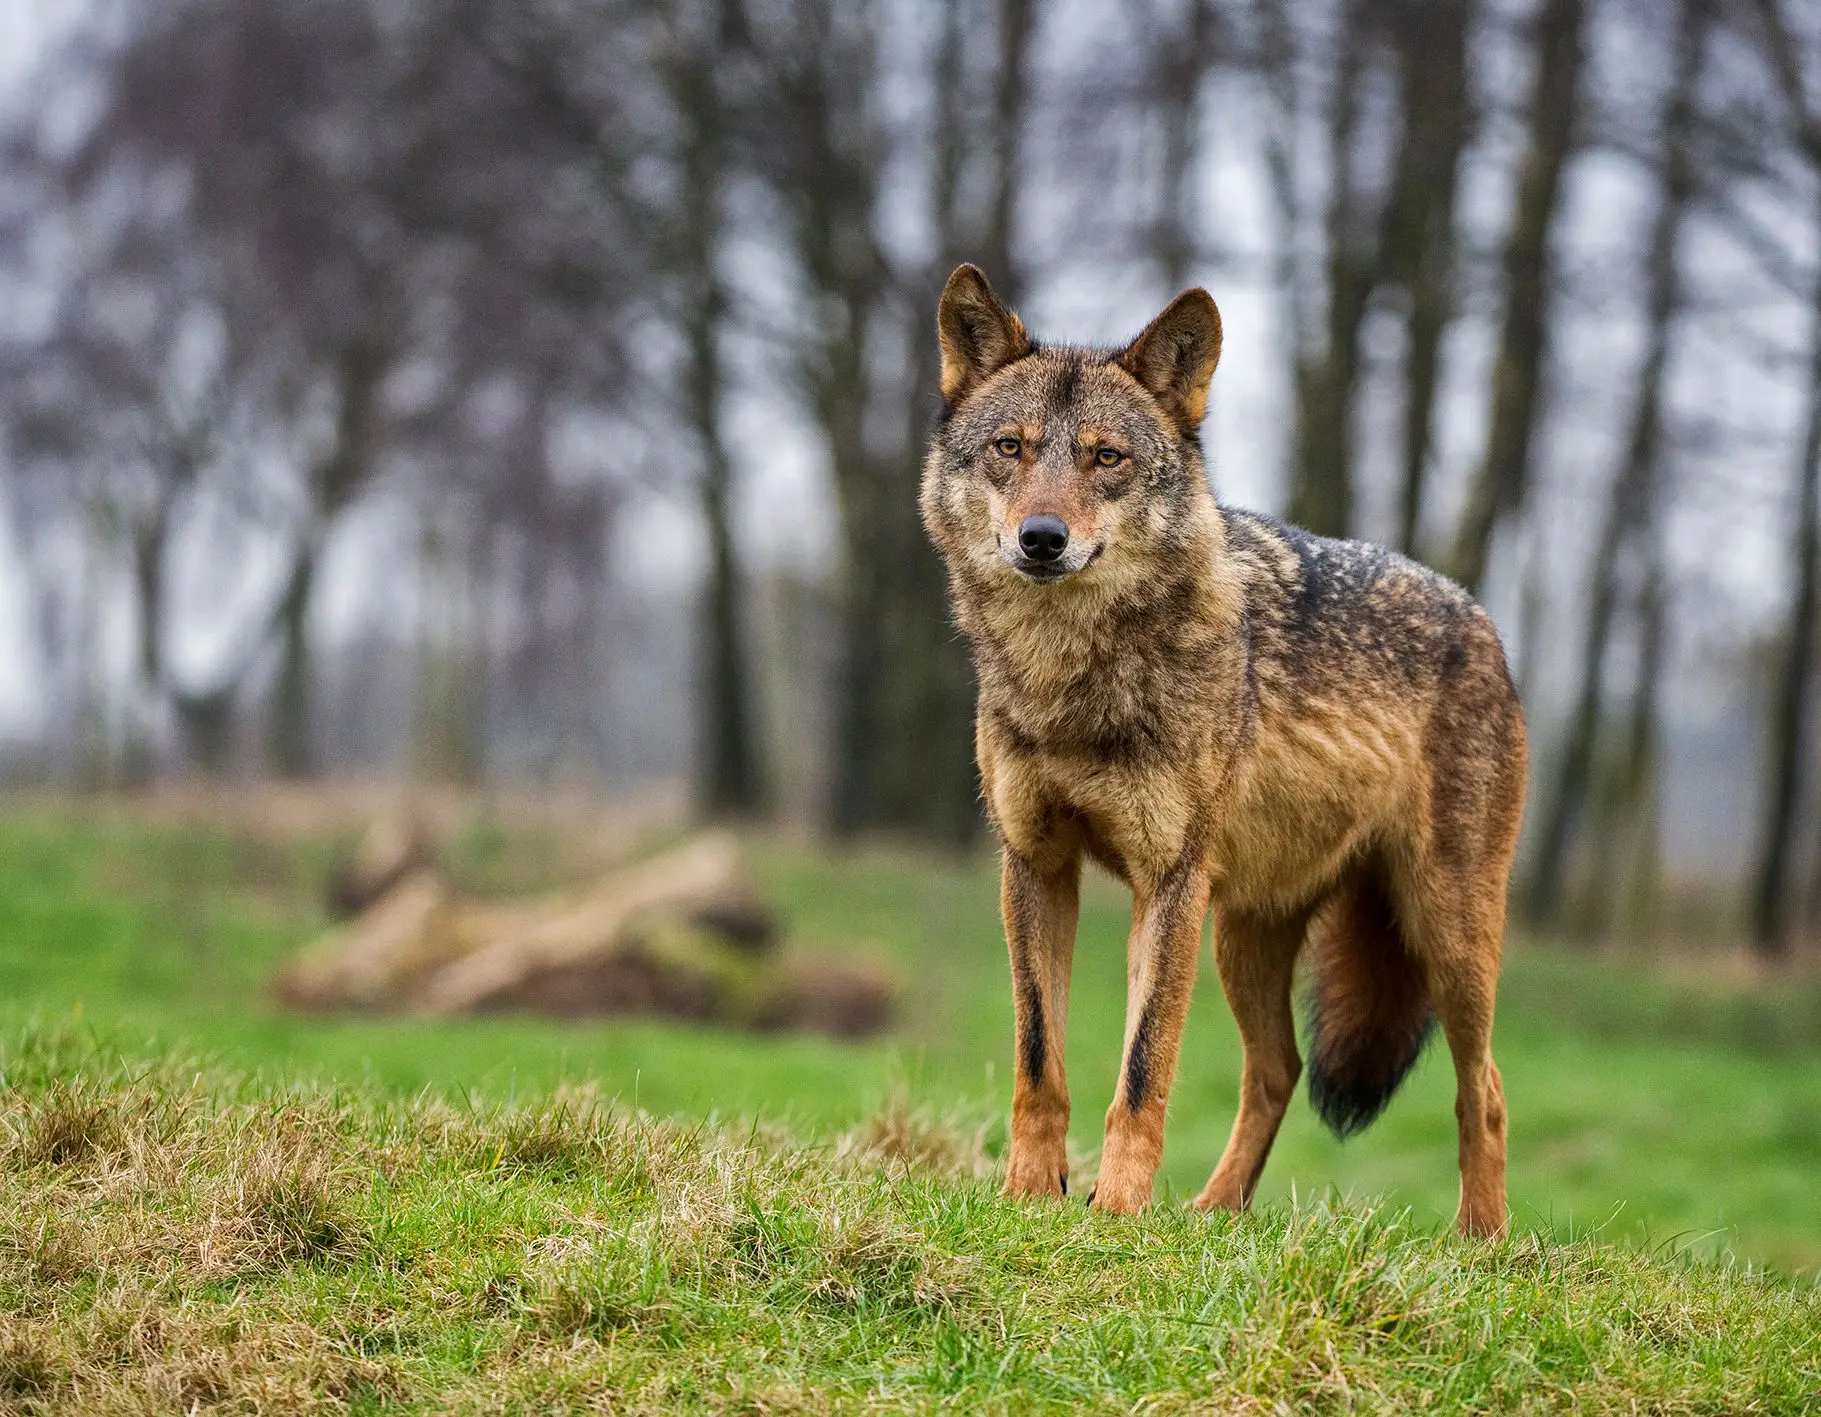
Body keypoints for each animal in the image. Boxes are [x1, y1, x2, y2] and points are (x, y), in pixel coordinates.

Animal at [917, 262, 1529, 1223]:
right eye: (1009, 448)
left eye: (1106, 458)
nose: (1041, 539)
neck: (1071, 675)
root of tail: (1482, 620)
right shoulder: (1034, 865)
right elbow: (1038, 1059)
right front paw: (1030, 1195)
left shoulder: (1169, 880)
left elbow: (1142, 1071)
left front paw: (1117, 1210)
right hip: (1245, 936)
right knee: (1278, 1070)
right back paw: (1212, 1213)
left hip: (1445, 932)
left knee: (1485, 1088)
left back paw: (1480, 1241)